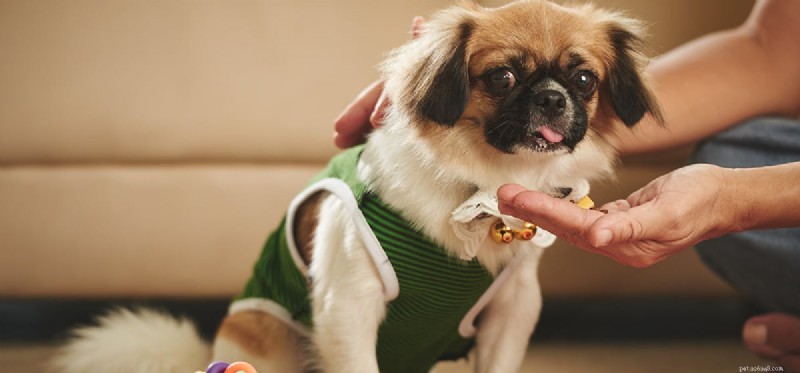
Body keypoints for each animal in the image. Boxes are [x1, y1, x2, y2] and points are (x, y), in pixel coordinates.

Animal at [56, 0, 660, 372]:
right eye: (502, 77)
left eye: (584, 80)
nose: (553, 98)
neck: (483, 185)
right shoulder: (348, 307)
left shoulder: (512, 309)